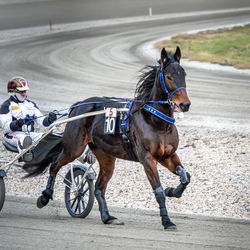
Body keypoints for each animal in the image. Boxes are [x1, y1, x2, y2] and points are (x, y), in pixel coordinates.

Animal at [27, 47, 191, 230]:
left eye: (184, 74)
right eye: (169, 76)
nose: (185, 104)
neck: (156, 121)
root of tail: (79, 104)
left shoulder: (167, 156)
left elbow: (186, 177)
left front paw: (173, 191)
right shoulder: (148, 159)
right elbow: (159, 191)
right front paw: (167, 221)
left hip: (105, 156)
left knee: (99, 188)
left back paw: (107, 217)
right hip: (73, 148)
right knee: (55, 165)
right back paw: (45, 197)